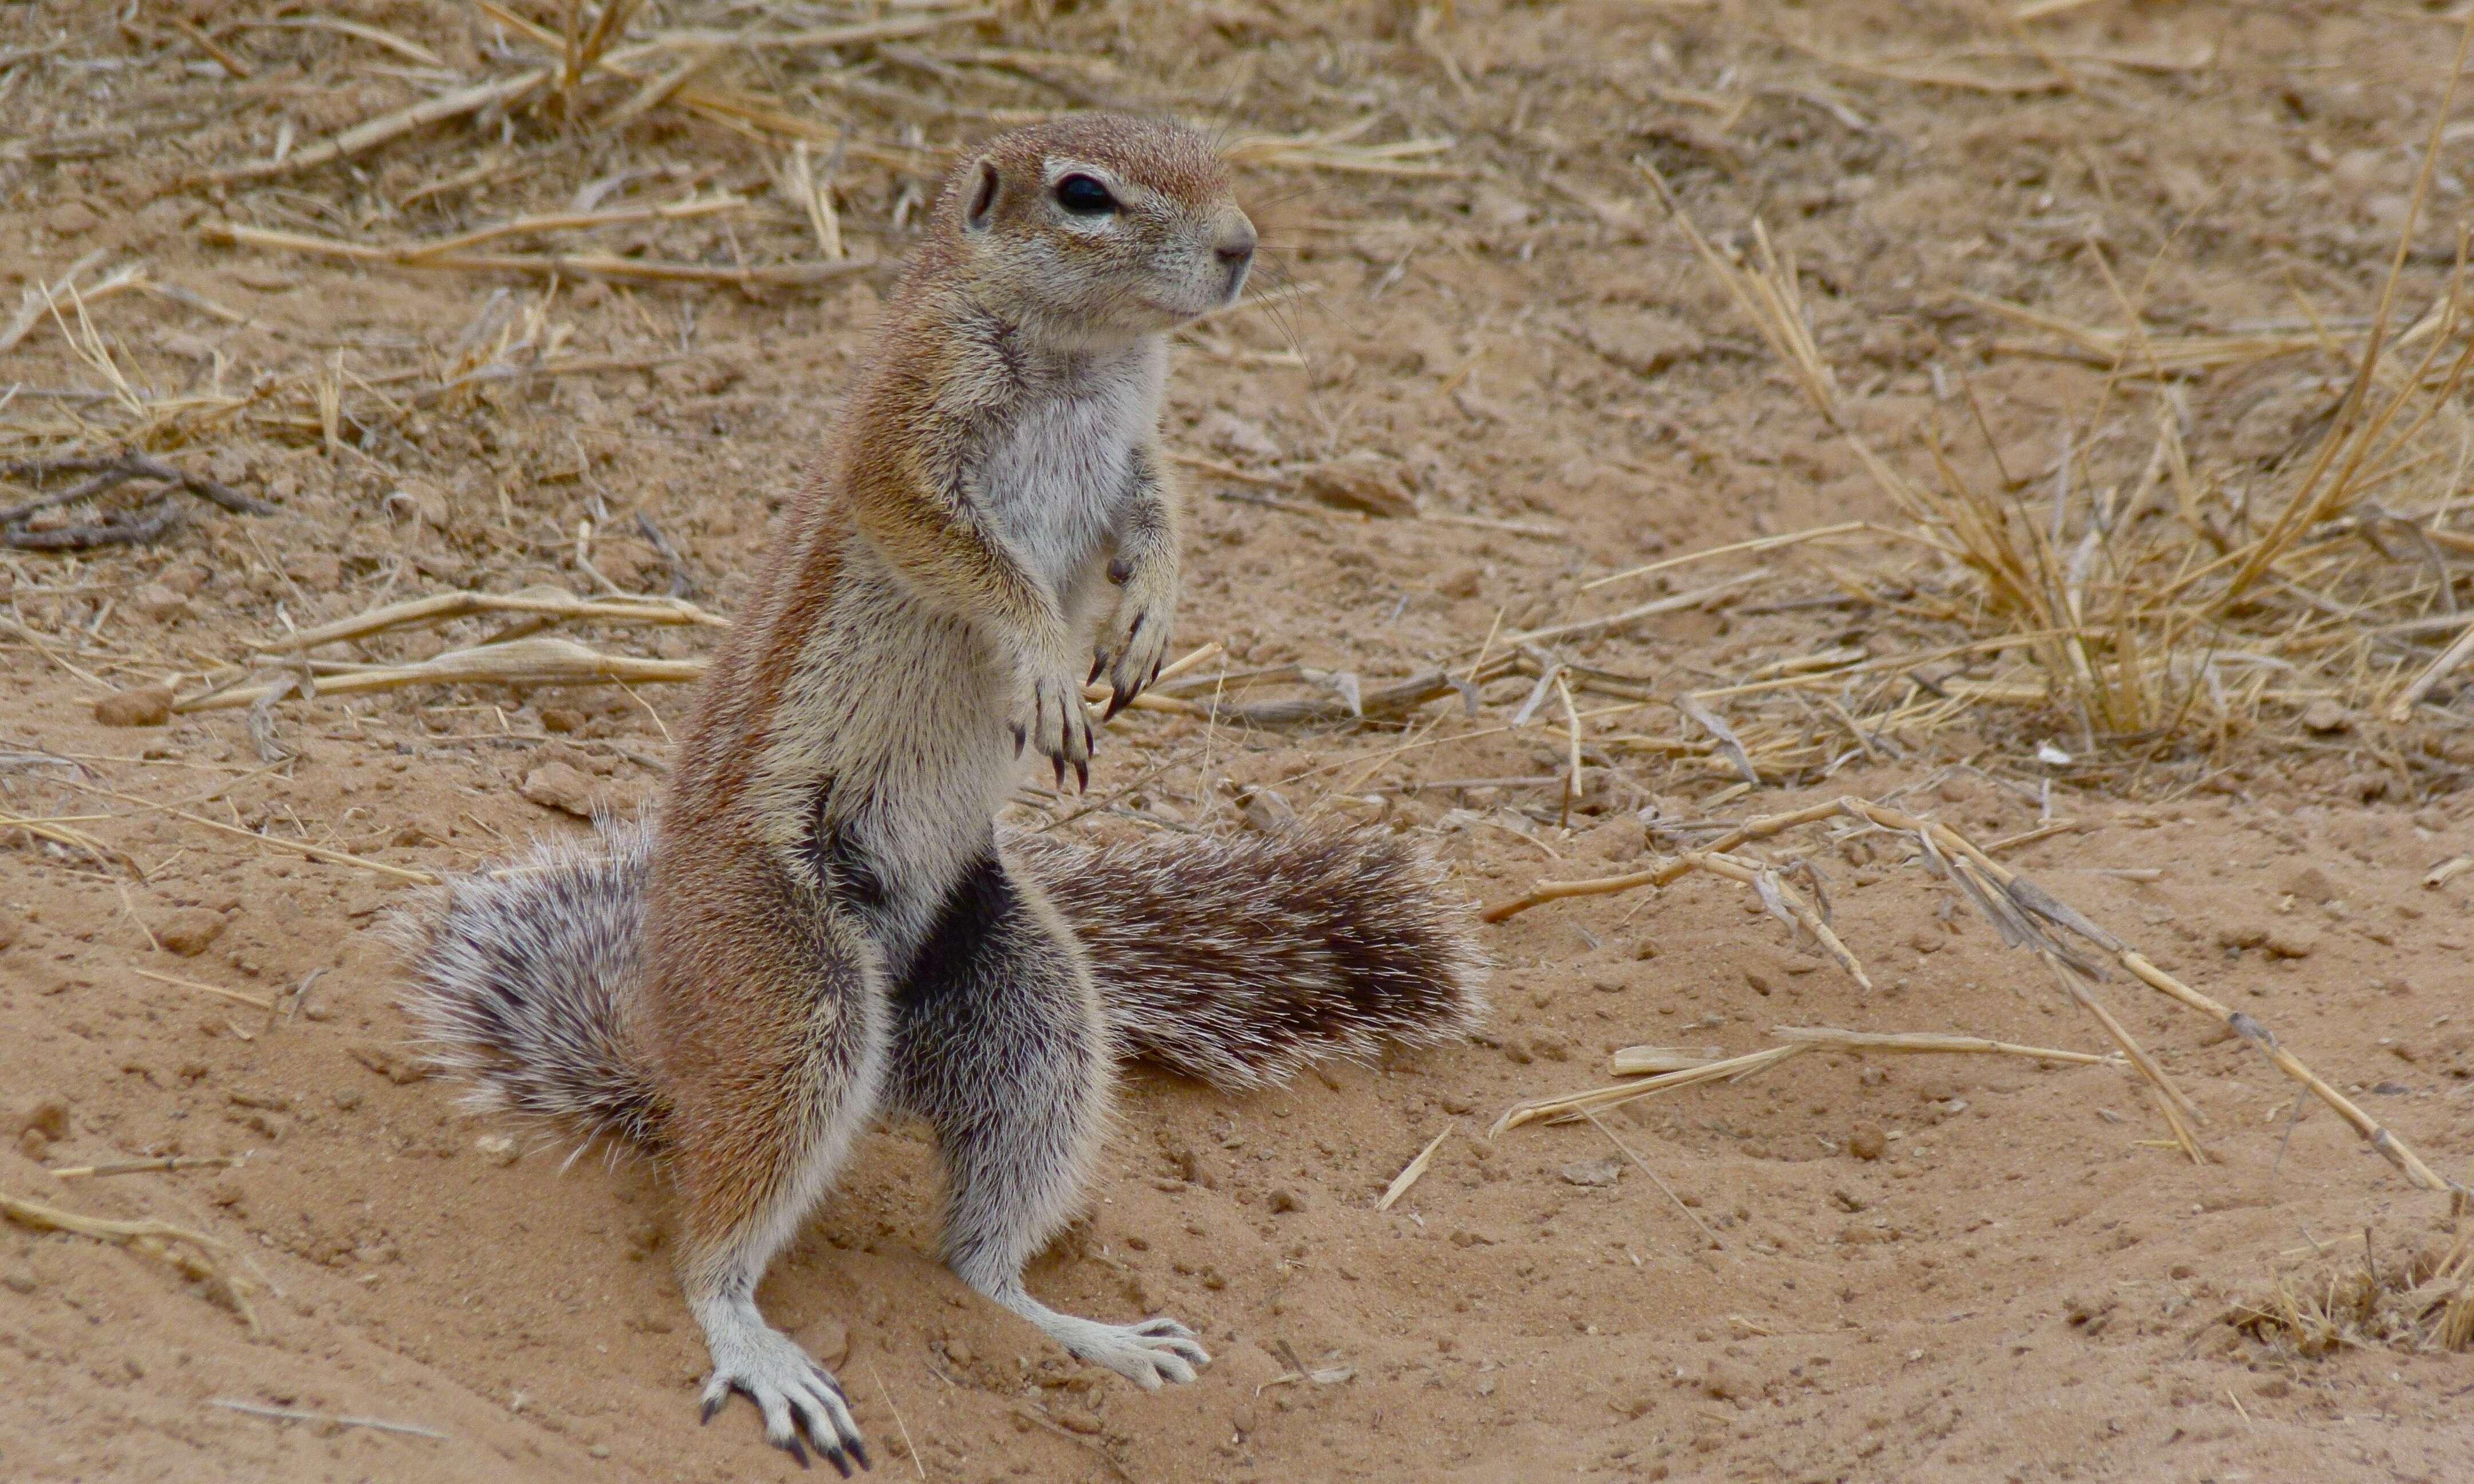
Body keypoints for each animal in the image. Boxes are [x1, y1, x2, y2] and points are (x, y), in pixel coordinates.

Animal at [400, 119, 1484, 1474]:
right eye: (1086, 196)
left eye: (1210, 152)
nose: (1242, 248)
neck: (1084, 357)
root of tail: (670, 1052)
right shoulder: (907, 438)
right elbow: (965, 556)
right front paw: (1048, 667)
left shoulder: (1136, 447)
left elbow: (1158, 510)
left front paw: (1149, 612)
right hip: (795, 992)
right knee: (710, 1240)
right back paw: (757, 1342)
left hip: (1032, 1004)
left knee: (978, 1249)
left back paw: (1084, 1333)